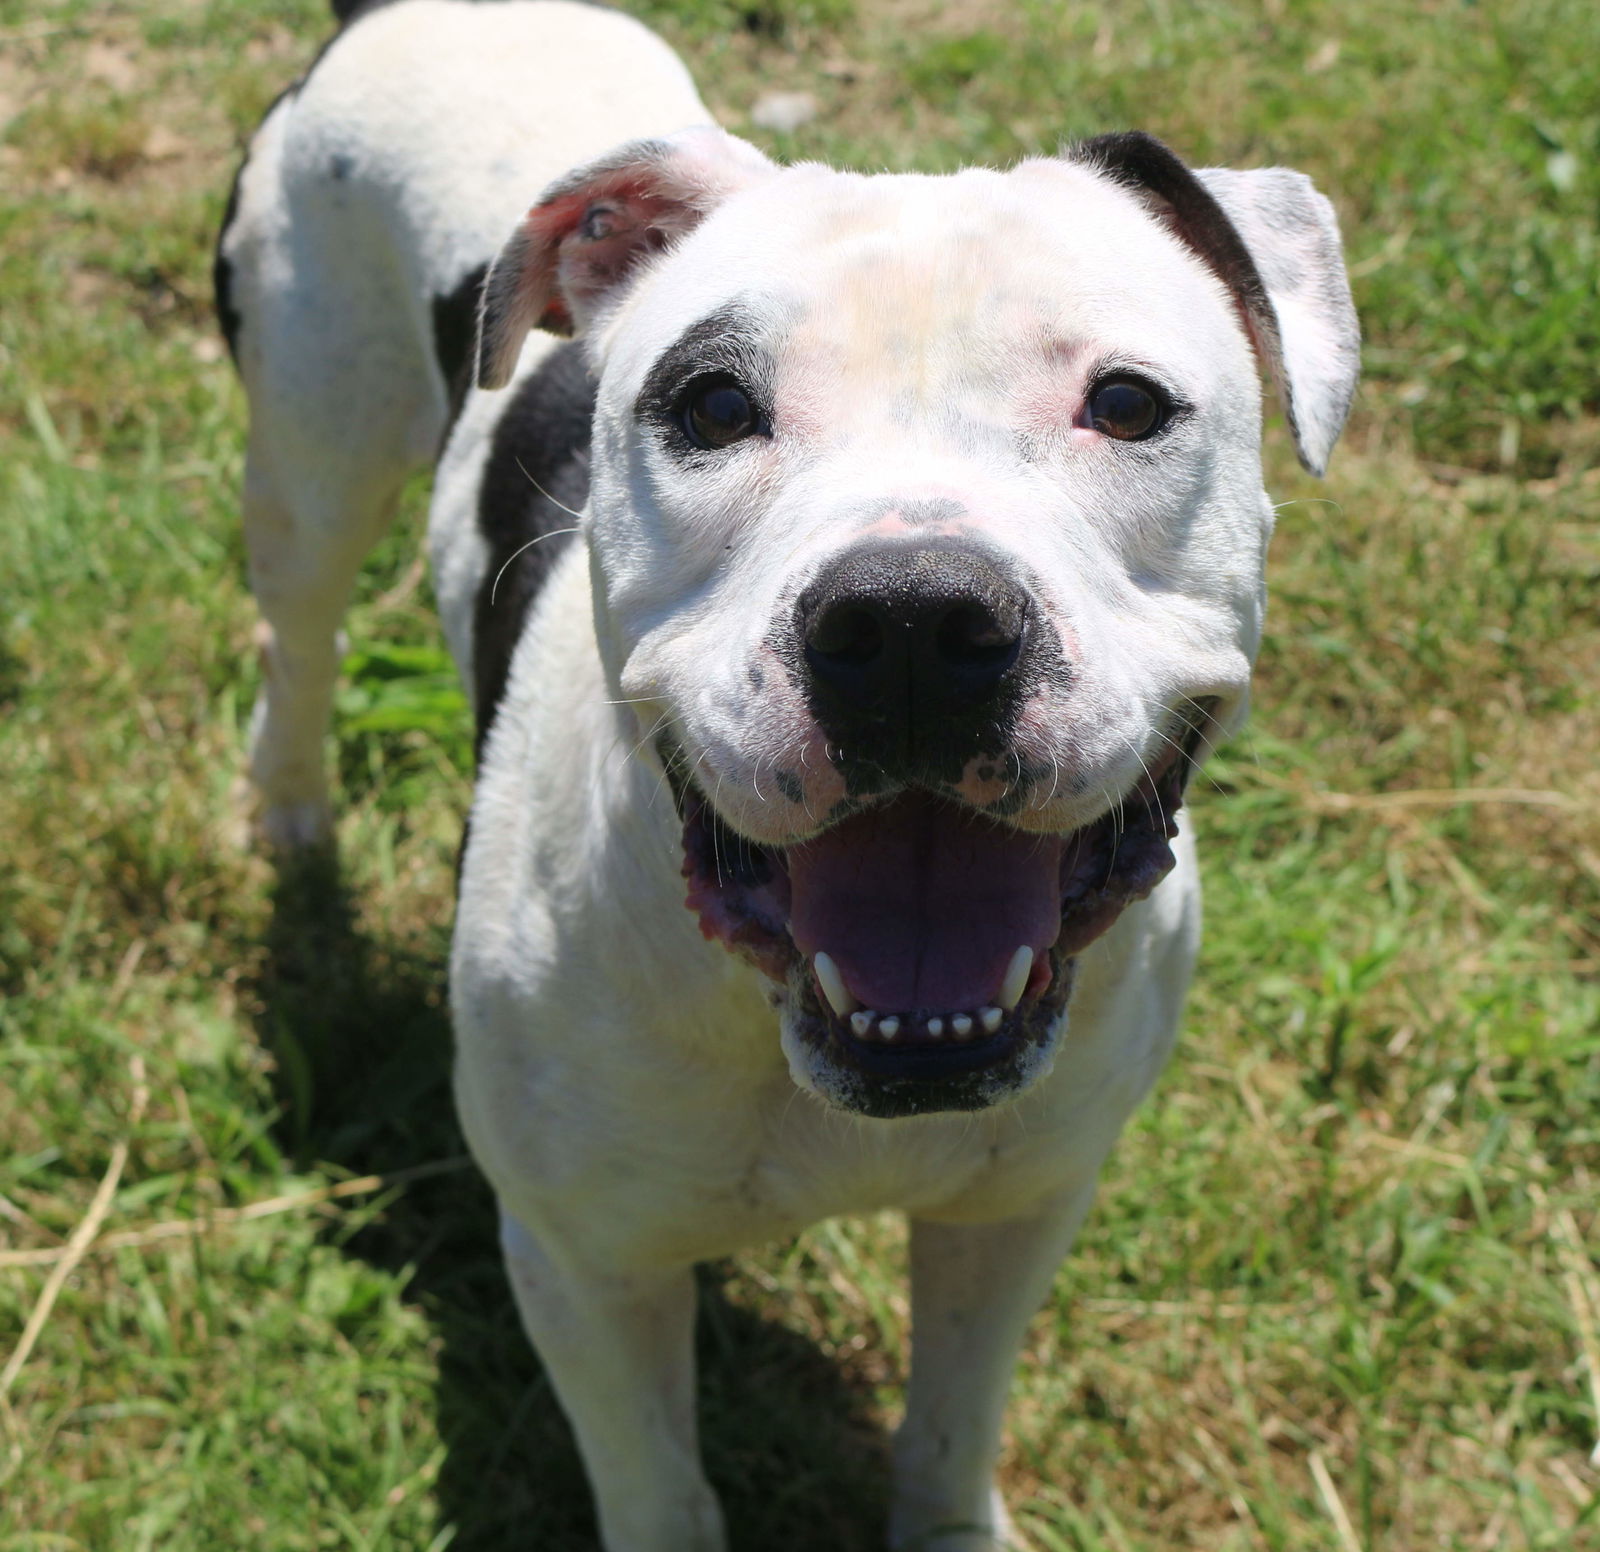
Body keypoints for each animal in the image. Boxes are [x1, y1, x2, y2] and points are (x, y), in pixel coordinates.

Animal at [216, 6, 1363, 1542]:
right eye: (711, 404)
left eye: (1126, 404)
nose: (914, 625)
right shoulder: (585, 1267)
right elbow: (659, 1491)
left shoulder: (1017, 1207)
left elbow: (951, 1424)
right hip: (310, 456)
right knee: (300, 630)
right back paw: (289, 818)